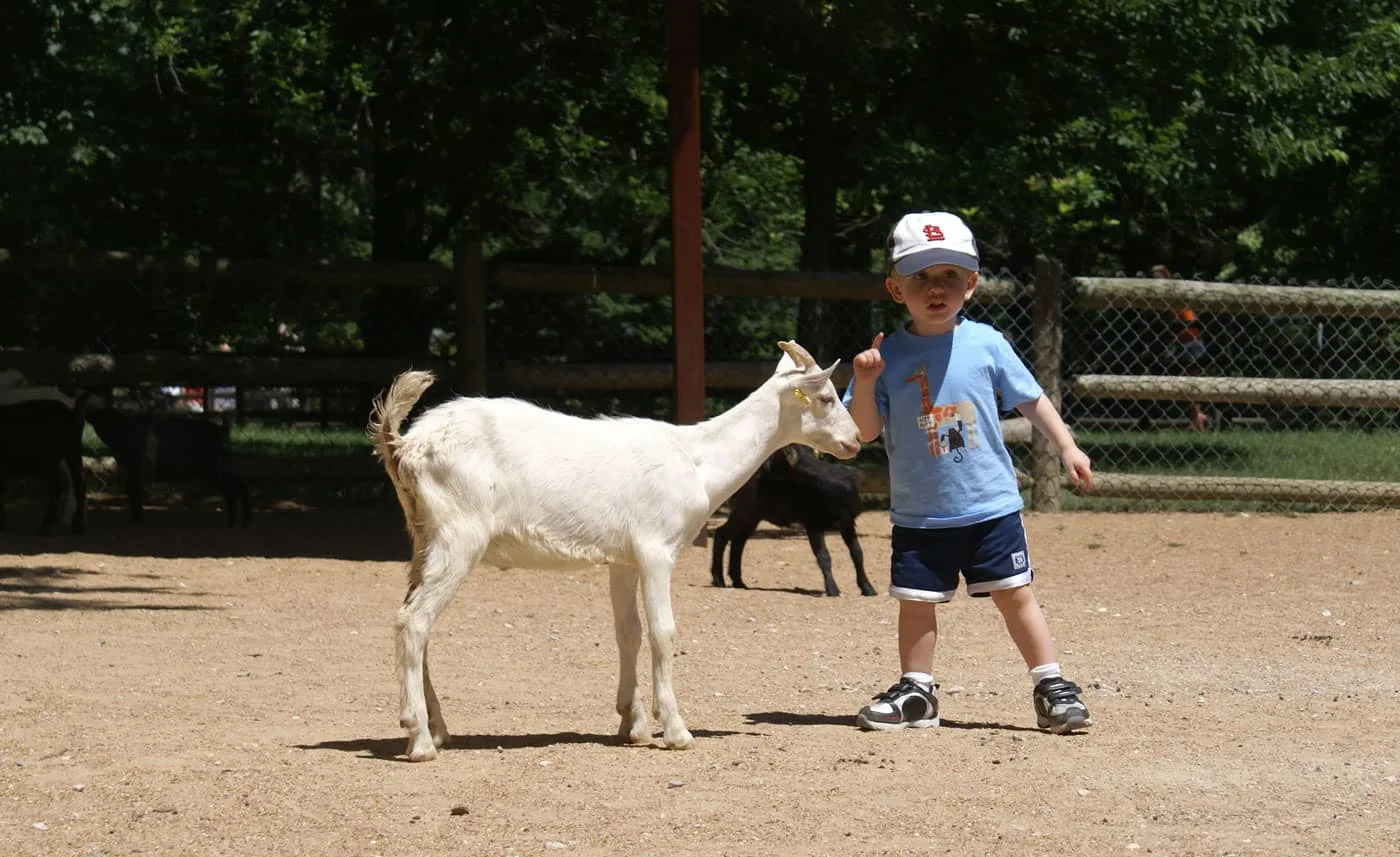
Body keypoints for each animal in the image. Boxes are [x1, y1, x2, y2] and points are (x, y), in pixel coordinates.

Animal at [0, 397, 87, 532]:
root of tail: (71, 412)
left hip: (50, 460)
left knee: (62, 487)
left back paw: (49, 527)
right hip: (66, 455)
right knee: (74, 484)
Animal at [85, 403, 250, 529]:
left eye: (101, 414)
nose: (88, 412)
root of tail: (221, 430)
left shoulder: (137, 468)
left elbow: (133, 490)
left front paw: (137, 518)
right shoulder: (132, 470)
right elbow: (131, 489)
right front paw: (136, 517)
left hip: (213, 470)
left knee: (236, 489)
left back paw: (239, 524)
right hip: (218, 469)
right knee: (236, 489)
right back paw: (236, 524)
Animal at [366, 337, 856, 761]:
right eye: (826, 397)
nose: (855, 441)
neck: (696, 459)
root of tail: (406, 444)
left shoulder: (624, 559)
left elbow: (629, 632)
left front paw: (632, 724)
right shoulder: (658, 550)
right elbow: (662, 631)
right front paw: (675, 730)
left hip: (424, 538)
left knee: (416, 619)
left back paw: (438, 728)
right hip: (458, 535)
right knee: (414, 621)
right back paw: (419, 738)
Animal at [711, 445, 873, 599]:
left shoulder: (848, 523)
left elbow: (857, 554)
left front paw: (868, 589)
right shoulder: (812, 523)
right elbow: (823, 556)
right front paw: (833, 589)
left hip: (752, 516)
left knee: (738, 541)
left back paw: (738, 581)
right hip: (745, 510)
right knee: (722, 534)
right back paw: (719, 580)